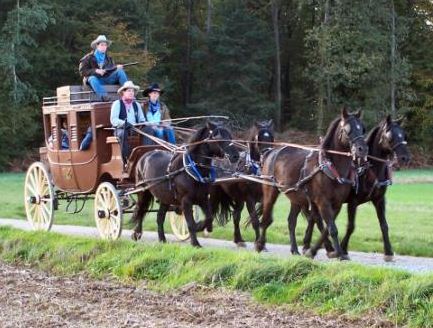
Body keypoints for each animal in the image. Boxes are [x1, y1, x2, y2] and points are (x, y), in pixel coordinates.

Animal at [256, 109, 368, 260]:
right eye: (347, 129)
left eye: (362, 128)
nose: (362, 149)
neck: (329, 167)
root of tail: (271, 152)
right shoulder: (323, 202)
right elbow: (332, 228)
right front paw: (338, 253)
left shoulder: (336, 204)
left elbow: (327, 228)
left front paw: (321, 250)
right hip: (270, 191)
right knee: (267, 217)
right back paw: (260, 244)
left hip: (296, 197)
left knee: (291, 222)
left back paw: (294, 249)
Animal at [300, 114, 408, 260]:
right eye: (390, 136)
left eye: (403, 135)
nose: (405, 158)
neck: (368, 168)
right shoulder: (353, 201)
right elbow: (351, 226)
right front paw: (343, 249)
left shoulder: (379, 200)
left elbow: (384, 225)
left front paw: (388, 252)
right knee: (316, 219)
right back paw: (314, 248)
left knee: (313, 218)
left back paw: (309, 246)